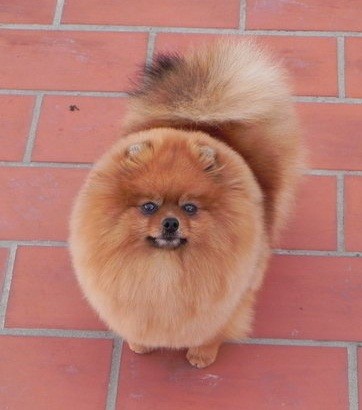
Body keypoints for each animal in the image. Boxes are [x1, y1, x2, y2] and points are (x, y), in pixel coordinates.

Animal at [69, 39, 304, 368]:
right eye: (149, 207)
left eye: (190, 208)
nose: (171, 223)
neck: (164, 272)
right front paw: (140, 344)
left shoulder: (226, 303)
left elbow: (213, 331)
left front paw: (202, 354)